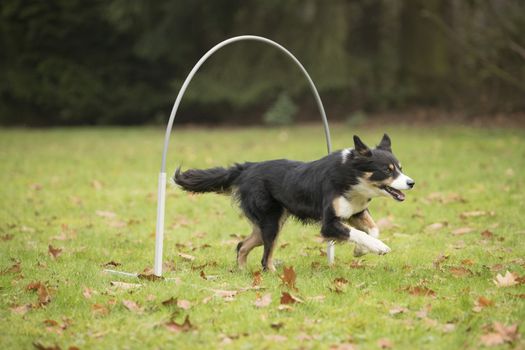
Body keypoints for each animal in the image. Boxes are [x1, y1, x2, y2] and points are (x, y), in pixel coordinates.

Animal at [174, 133, 416, 270]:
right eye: (387, 170)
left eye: (400, 168)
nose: (411, 182)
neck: (350, 175)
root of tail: (247, 168)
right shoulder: (329, 223)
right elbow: (357, 233)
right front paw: (378, 247)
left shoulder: (355, 212)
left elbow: (373, 229)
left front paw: (360, 250)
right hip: (271, 222)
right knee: (265, 259)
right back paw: (273, 276)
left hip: (266, 225)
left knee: (242, 245)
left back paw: (242, 272)